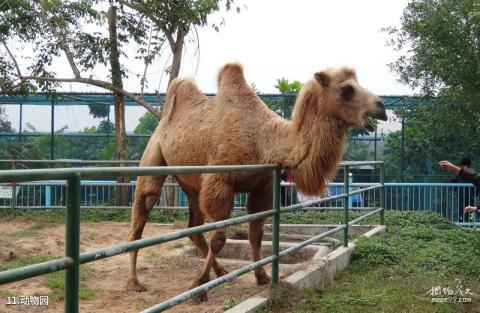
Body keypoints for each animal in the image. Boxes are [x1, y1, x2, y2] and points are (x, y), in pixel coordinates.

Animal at [125, 62, 388, 298]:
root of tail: (163, 121)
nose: (382, 107)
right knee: (143, 212)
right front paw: (198, 286)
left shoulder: (262, 187)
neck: (262, 141)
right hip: (154, 156)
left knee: (194, 228)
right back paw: (135, 282)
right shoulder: (219, 184)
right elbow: (219, 238)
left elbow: (256, 235)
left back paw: (221, 273)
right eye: (347, 89)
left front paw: (261, 277)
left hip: (189, 181)